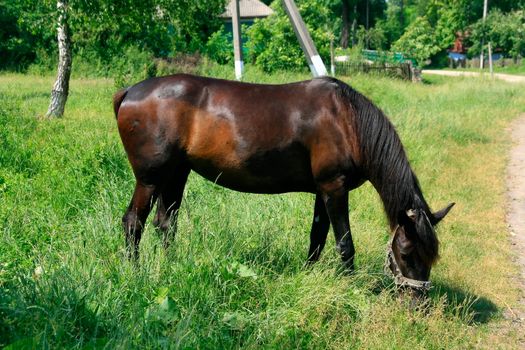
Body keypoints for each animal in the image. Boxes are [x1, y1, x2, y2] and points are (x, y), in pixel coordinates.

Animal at [112, 74, 452, 298]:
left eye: (432, 256)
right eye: (407, 254)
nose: (418, 303)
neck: (347, 121)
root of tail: (129, 91)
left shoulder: (322, 191)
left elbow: (317, 238)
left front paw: (309, 275)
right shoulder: (334, 188)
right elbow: (344, 243)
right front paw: (349, 286)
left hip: (177, 173)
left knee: (165, 222)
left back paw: (170, 266)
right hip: (150, 179)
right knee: (134, 222)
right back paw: (134, 274)